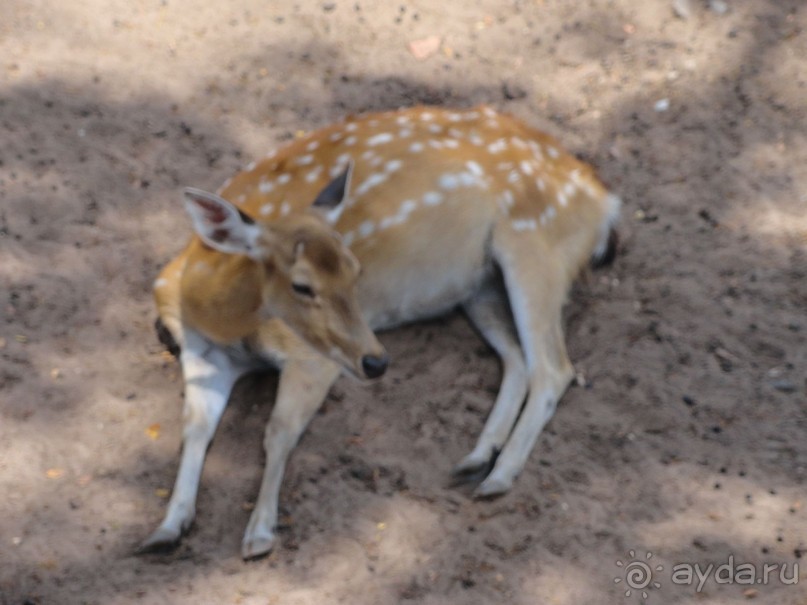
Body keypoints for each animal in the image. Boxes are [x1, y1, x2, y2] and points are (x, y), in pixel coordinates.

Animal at [140, 102, 620, 556]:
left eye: (357, 270)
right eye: (301, 285)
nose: (376, 362)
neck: (215, 313)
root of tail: (604, 202)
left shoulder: (311, 356)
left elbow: (278, 431)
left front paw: (259, 534)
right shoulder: (202, 351)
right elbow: (194, 429)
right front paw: (166, 528)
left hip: (534, 244)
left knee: (554, 368)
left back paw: (498, 477)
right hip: (478, 286)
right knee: (518, 359)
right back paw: (476, 458)